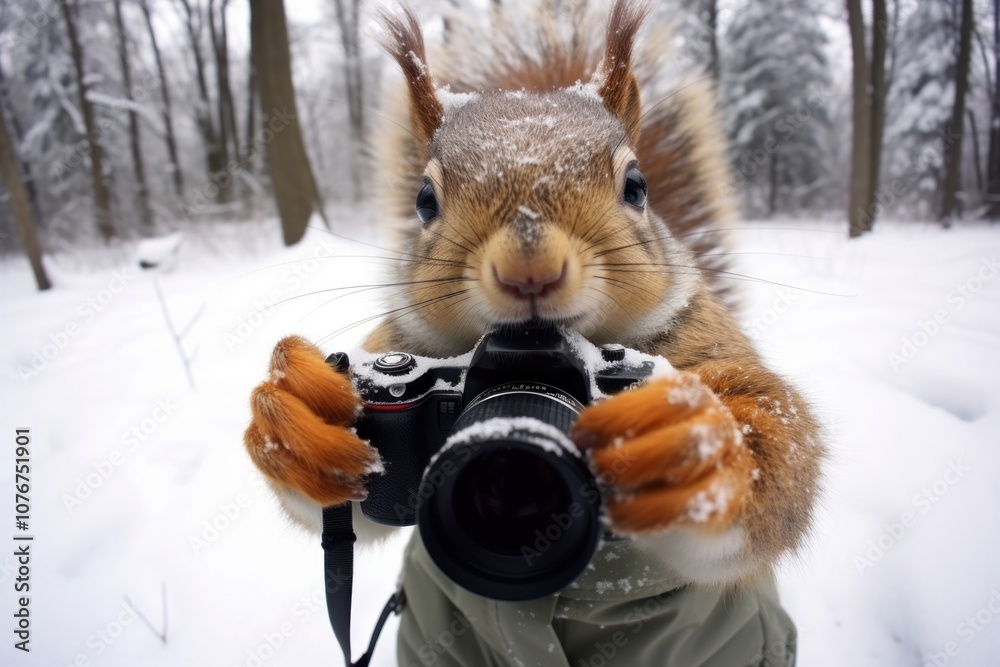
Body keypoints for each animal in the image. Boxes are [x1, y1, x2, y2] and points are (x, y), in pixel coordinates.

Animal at [240, 2, 820, 664]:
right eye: (424, 200)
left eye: (637, 187)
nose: (530, 268)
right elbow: (359, 517)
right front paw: (299, 415)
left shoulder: (705, 341)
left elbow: (779, 444)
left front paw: (698, 446)